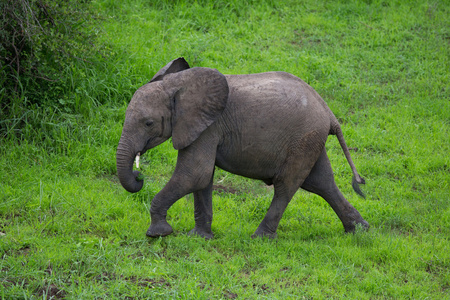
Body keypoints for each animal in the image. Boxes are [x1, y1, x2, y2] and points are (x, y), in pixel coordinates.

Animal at [116, 56, 370, 239]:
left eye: (148, 123)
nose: (139, 176)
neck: (178, 84)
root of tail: (329, 112)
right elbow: (202, 179)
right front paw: (199, 237)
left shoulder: (208, 127)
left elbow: (194, 174)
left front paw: (158, 234)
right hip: (310, 140)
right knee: (321, 182)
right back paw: (360, 230)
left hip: (303, 139)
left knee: (286, 186)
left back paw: (260, 238)